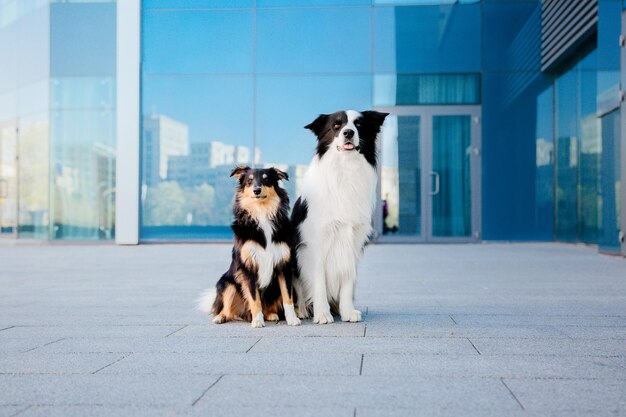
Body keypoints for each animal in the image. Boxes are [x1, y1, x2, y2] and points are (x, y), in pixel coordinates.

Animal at [197, 167, 300, 328]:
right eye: (249, 181)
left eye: (266, 179)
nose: (257, 190)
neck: (262, 212)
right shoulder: (248, 267)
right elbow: (254, 298)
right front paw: (257, 320)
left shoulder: (283, 266)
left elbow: (287, 296)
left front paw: (292, 319)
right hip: (227, 283)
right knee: (225, 309)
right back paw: (220, 317)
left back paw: (271, 315)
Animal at [292, 110, 386, 324]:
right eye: (336, 125)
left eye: (359, 124)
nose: (348, 132)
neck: (345, 168)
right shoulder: (316, 243)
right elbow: (318, 281)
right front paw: (322, 313)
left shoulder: (353, 241)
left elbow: (348, 280)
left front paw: (347, 311)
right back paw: (302, 310)